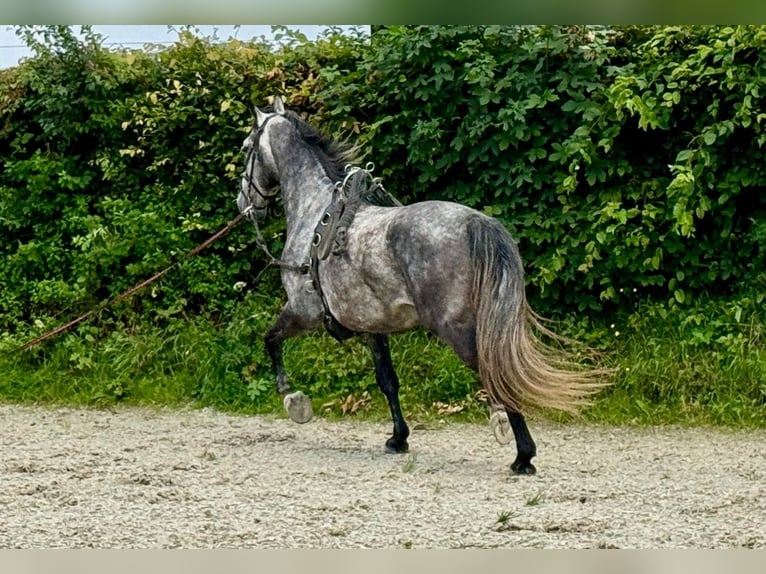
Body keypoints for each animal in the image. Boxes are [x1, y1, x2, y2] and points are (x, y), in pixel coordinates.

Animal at [240, 97, 608, 476]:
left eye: (245, 148)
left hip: (457, 330)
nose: (244, 203)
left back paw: (522, 454)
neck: (316, 213)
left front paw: (292, 398)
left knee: (497, 373)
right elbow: (387, 380)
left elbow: (271, 339)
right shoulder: (373, 328)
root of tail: (477, 222)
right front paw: (398, 438)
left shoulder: (303, 311)